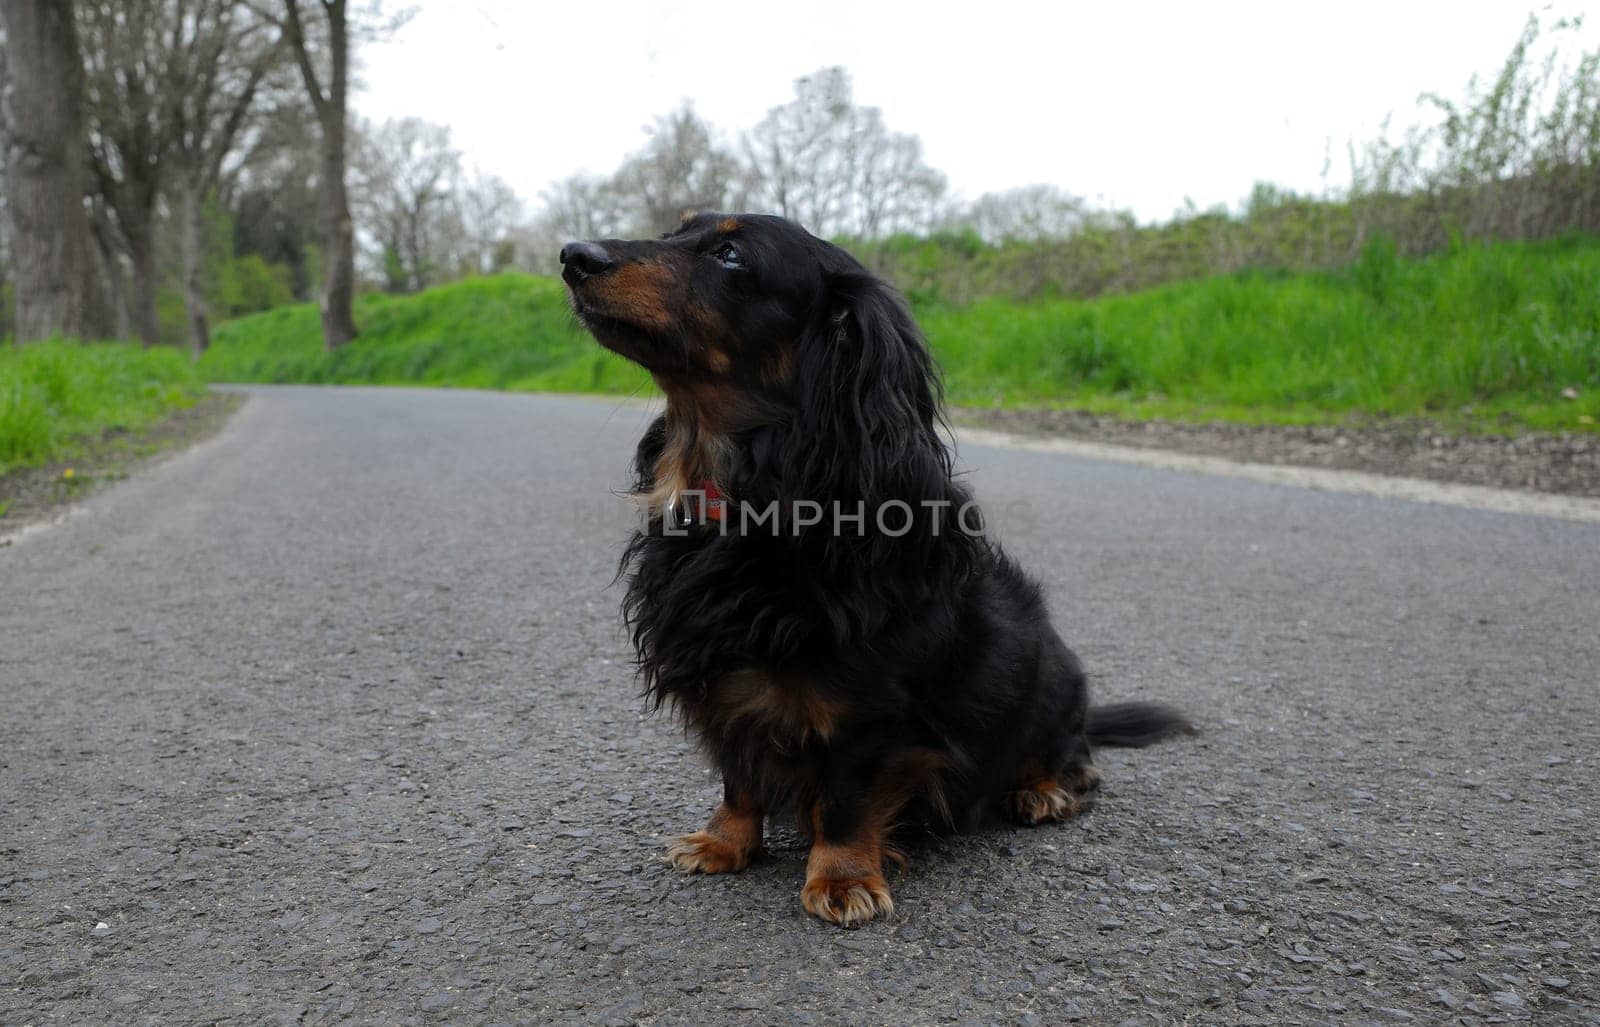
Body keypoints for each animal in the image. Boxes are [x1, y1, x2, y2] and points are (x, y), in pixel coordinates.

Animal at [563, 211, 1190, 921]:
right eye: (677, 231)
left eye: (730, 255)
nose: (572, 255)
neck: (753, 499)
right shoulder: (724, 685)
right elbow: (739, 777)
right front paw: (724, 843)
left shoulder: (868, 709)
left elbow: (846, 798)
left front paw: (841, 879)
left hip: (1052, 682)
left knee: (1072, 755)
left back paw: (1043, 789)